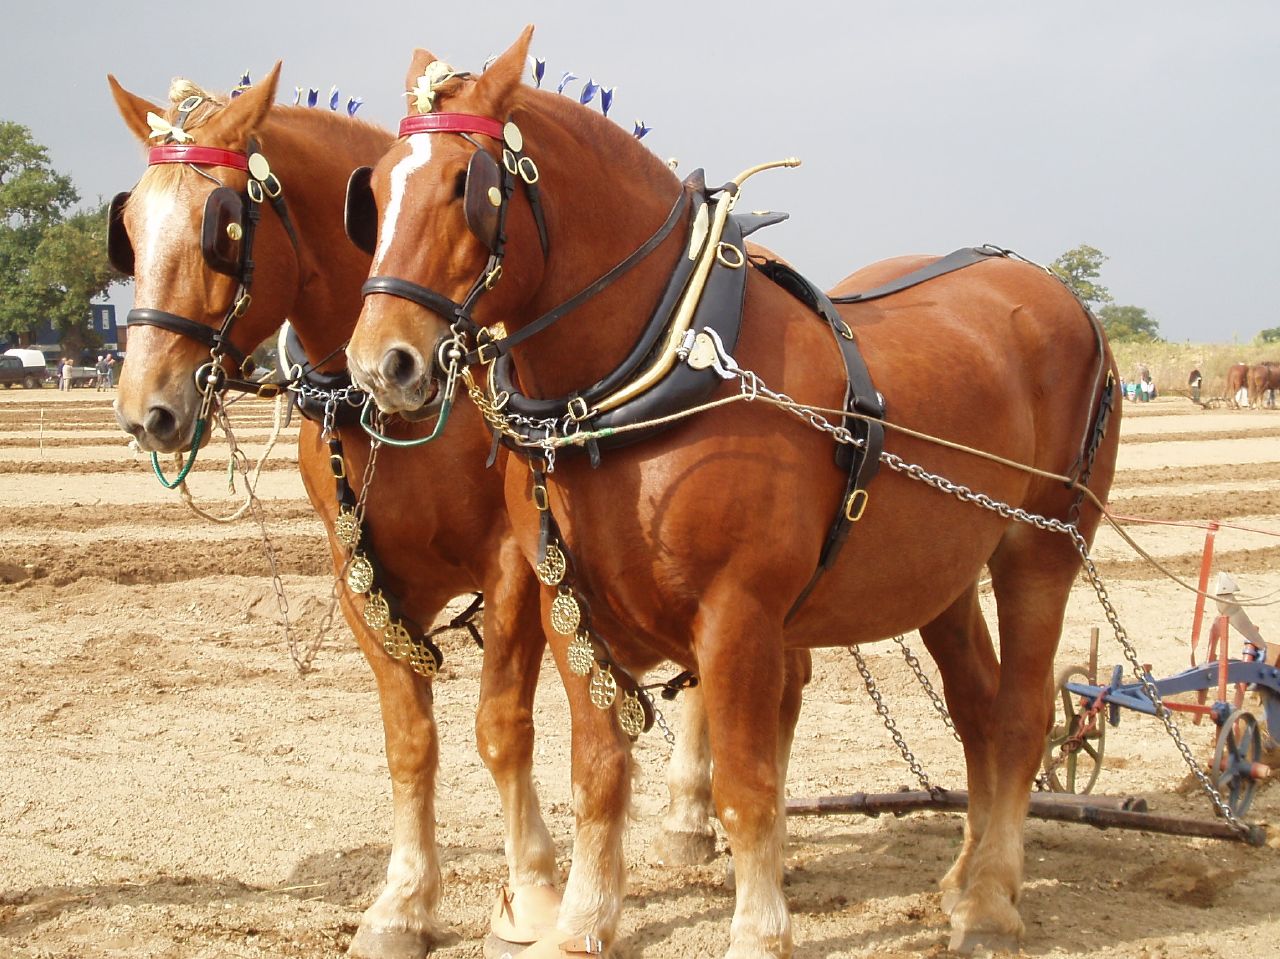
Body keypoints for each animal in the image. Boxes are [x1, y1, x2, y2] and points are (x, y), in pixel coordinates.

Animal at [107, 69, 573, 957]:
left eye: (222, 230)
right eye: (131, 232)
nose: (146, 410)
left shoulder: (515, 565)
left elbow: (502, 726)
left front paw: (532, 893)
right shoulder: (360, 573)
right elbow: (409, 740)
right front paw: (403, 903)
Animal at [343, 26, 1121, 952]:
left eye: (469, 188)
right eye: (375, 191)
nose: (379, 364)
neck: (661, 366)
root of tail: (1068, 301)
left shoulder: (738, 613)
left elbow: (747, 787)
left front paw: (757, 928)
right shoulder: (566, 606)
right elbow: (597, 772)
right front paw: (582, 920)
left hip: (1040, 550)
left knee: (1022, 714)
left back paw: (992, 898)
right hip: (942, 575)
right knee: (977, 709)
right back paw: (962, 875)